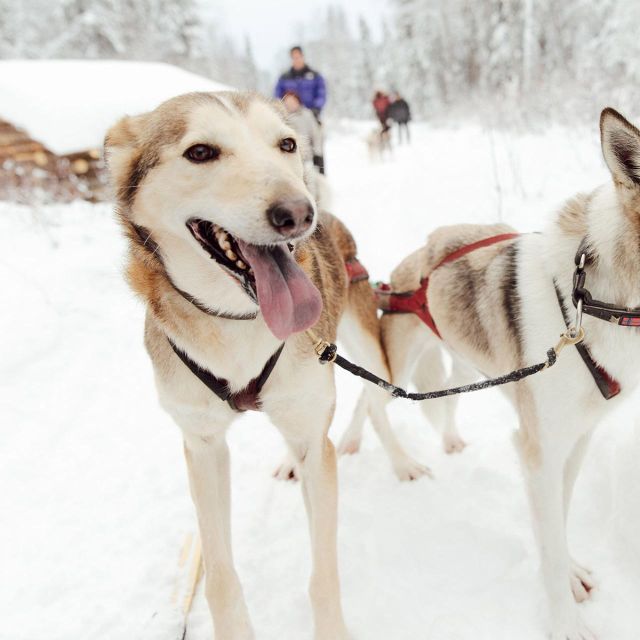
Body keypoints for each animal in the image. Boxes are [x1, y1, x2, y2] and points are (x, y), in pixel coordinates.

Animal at [105, 91, 428, 640]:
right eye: (200, 152)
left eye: (287, 144)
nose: (298, 213)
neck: (238, 319)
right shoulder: (203, 447)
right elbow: (219, 579)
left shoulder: (314, 438)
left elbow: (323, 574)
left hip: (364, 352)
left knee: (374, 402)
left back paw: (399, 461)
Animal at [378, 107, 640, 636]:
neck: (591, 304)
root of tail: (418, 255)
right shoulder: (538, 448)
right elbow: (550, 543)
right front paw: (564, 622)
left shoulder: (573, 442)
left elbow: (558, 522)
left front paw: (570, 573)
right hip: (397, 363)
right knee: (366, 406)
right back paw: (397, 462)